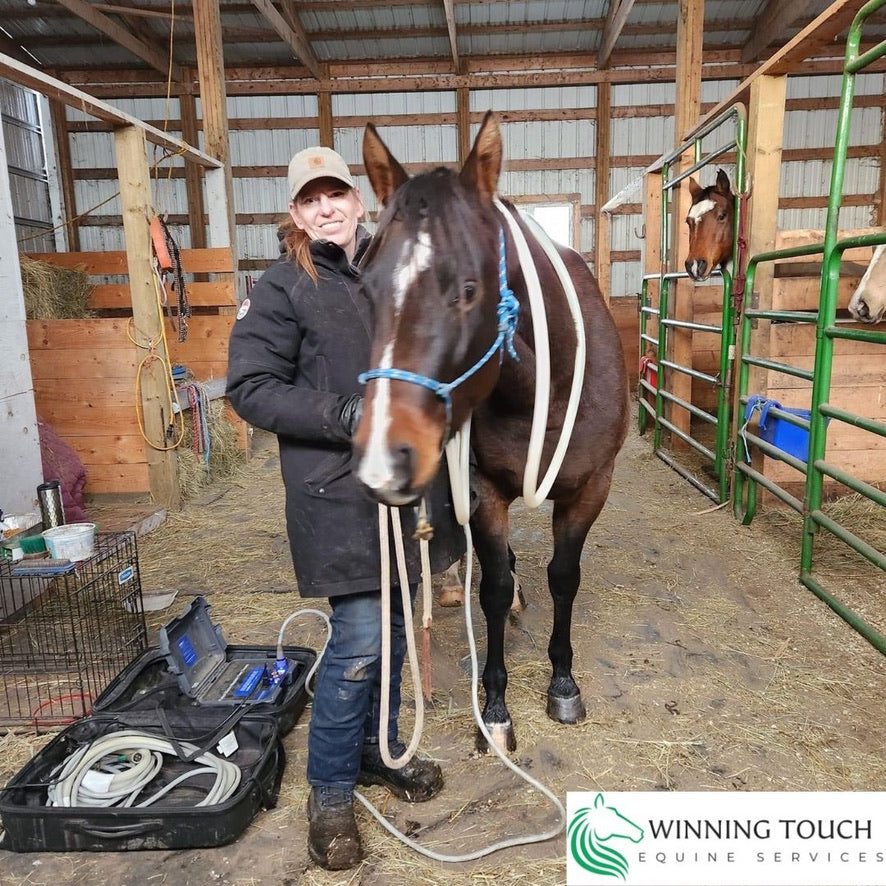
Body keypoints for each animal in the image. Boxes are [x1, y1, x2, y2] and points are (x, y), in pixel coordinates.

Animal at [353, 111, 629, 754]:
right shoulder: (483, 492)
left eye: (469, 289)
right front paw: (497, 707)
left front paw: (562, 683)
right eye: (365, 286)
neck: (541, 393)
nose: (384, 461)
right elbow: (495, 588)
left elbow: (564, 577)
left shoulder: (591, 489)